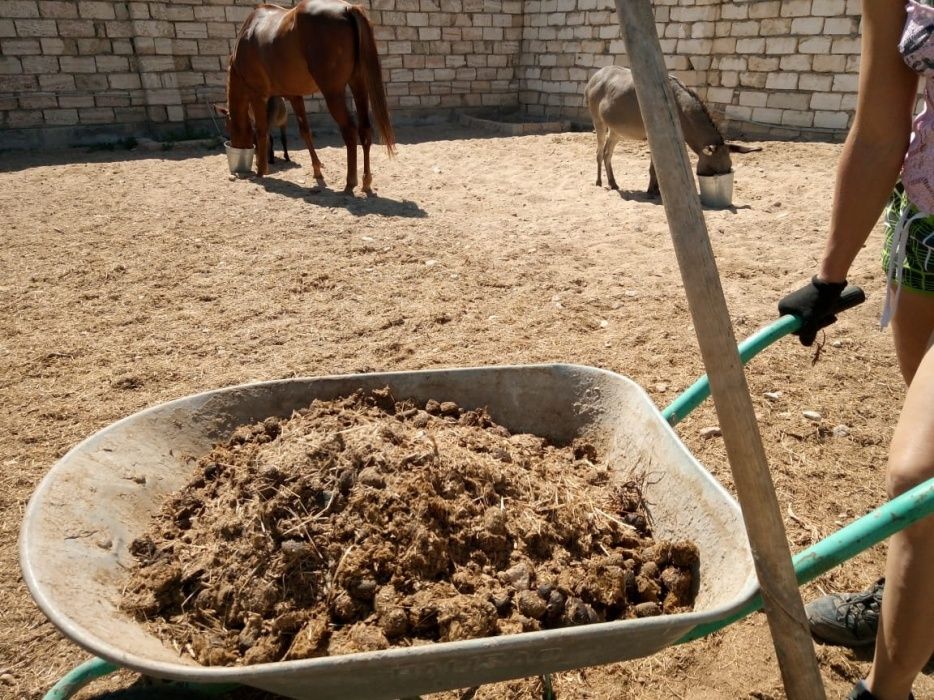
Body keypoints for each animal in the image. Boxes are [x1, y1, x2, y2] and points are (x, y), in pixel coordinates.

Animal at [231, 0, 398, 191]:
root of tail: (347, 8)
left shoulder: (258, 96)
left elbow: (261, 130)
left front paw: (261, 170)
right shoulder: (294, 96)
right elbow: (305, 131)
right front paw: (317, 170)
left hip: (333, 93)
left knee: (349, 130)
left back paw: (350, 182)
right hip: (358, 85)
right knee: (365, 129)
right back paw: (366, 181)